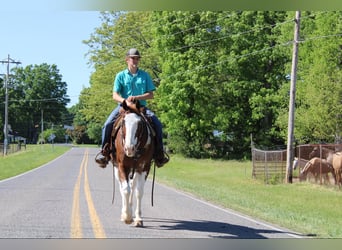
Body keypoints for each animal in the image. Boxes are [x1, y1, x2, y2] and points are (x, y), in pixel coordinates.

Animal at [111, 99, 155, 227]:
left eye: (140, 124)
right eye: (123, 123)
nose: (129, 148)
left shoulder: (143, 168)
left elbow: (138, 192)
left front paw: (138, 218)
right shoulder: (122, 166)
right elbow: (125, 190)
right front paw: (127, 217)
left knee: (133, 185)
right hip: (117, 168)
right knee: (123, 188)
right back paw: (125, 212)